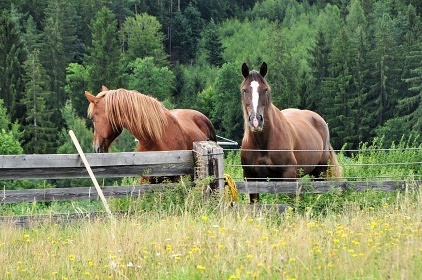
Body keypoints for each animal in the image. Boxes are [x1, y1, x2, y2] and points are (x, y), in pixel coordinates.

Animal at [239, 63, 342, 203]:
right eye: (244, 90)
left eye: (265, 89)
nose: (256, 121)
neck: (262, 145)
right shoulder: (250, 178)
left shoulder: (289, 176)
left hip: (320, 171)